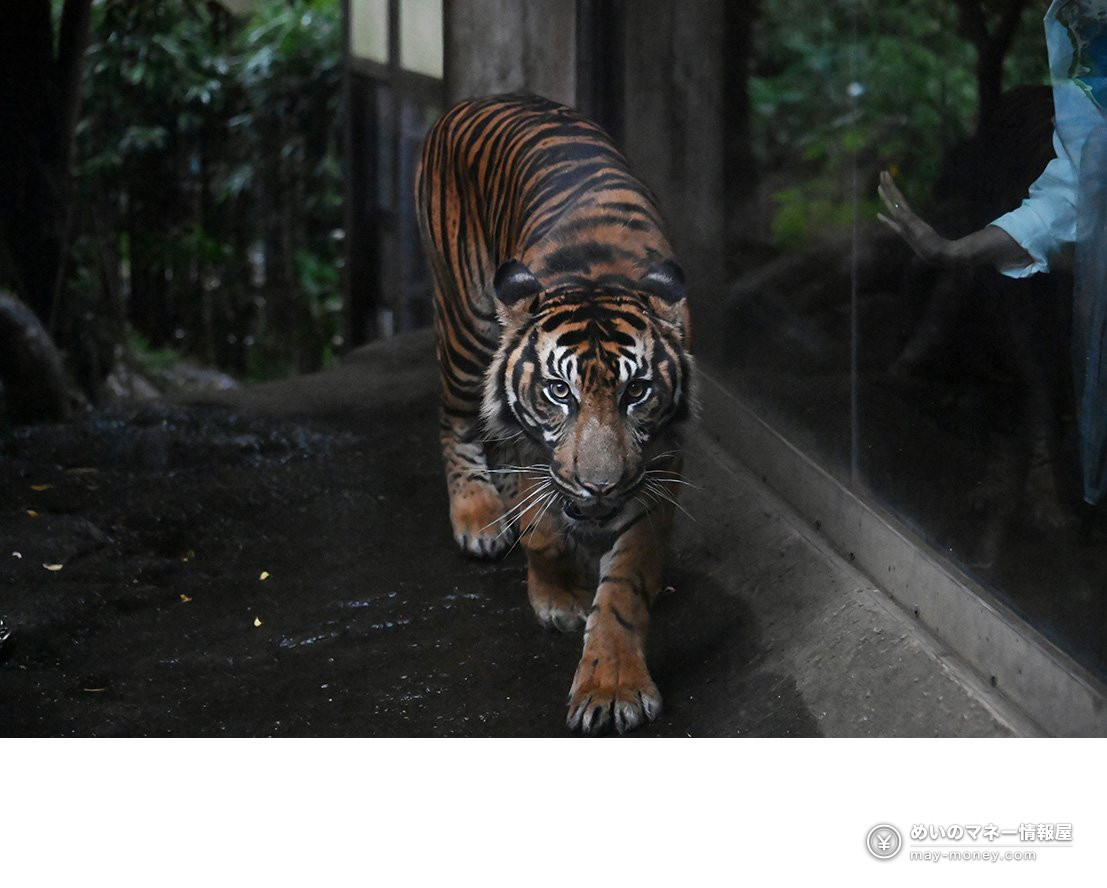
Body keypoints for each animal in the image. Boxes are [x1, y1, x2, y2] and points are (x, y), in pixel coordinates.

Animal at [414, 93, 694, 735]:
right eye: (559, 392)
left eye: (637, 391)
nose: (600, 485)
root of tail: (476, 100)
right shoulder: (526, 445)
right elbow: (540, 530)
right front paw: (559, 596)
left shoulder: (657, 468)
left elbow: (626, 583)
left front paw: (611, 686)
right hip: (466, 328)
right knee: (453, 422)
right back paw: (477, 517)